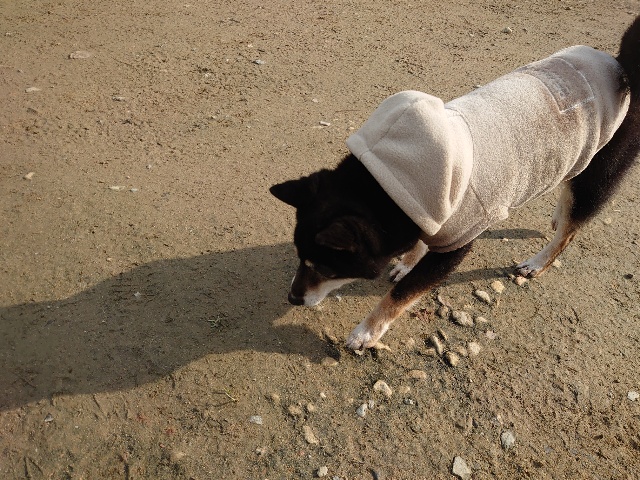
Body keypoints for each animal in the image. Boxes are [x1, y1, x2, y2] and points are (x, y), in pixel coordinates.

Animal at [270, 16, 640, 351]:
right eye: (300, 257)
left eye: (324, 266)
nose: (292, 298)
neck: (394, 186)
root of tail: (621, 67)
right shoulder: (428, 214)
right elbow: (419, 247)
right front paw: (408, 262)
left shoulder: (456, 244)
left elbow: (399, 296)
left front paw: (366, 333)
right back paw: (555, 217)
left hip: (597, 175)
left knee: (569, 231)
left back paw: (538, 261)